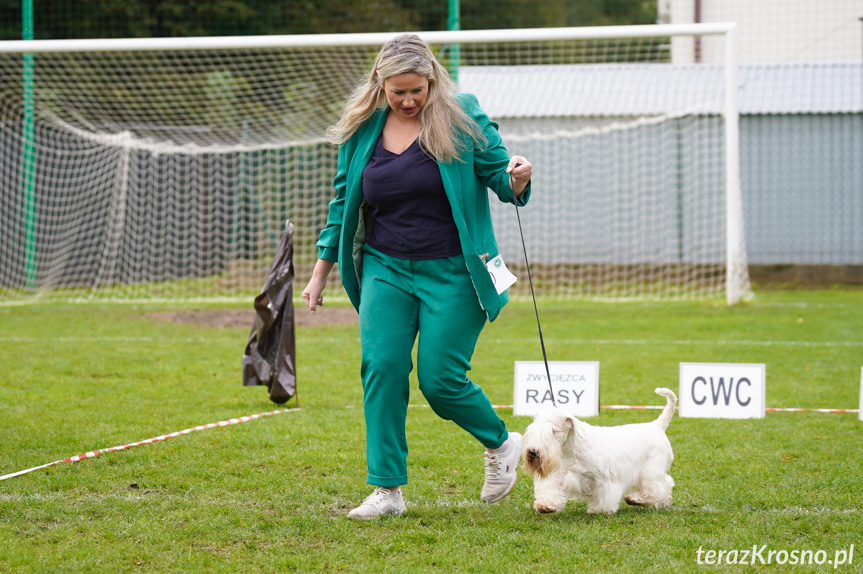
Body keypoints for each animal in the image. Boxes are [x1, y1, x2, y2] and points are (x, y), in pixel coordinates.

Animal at [524, 390, 680, 516]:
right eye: (531, 429)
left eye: (553, 431)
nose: (533, 452)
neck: (572, 451)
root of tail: (657, 426)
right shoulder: (557, 476)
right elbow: (550, 490)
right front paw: (545, 506)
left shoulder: (604, 480)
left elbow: (604, 496)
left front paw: (598, 510)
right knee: (666, 482)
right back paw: (664, 502)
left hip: (651, 470)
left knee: (655, 487)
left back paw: (635, 499)